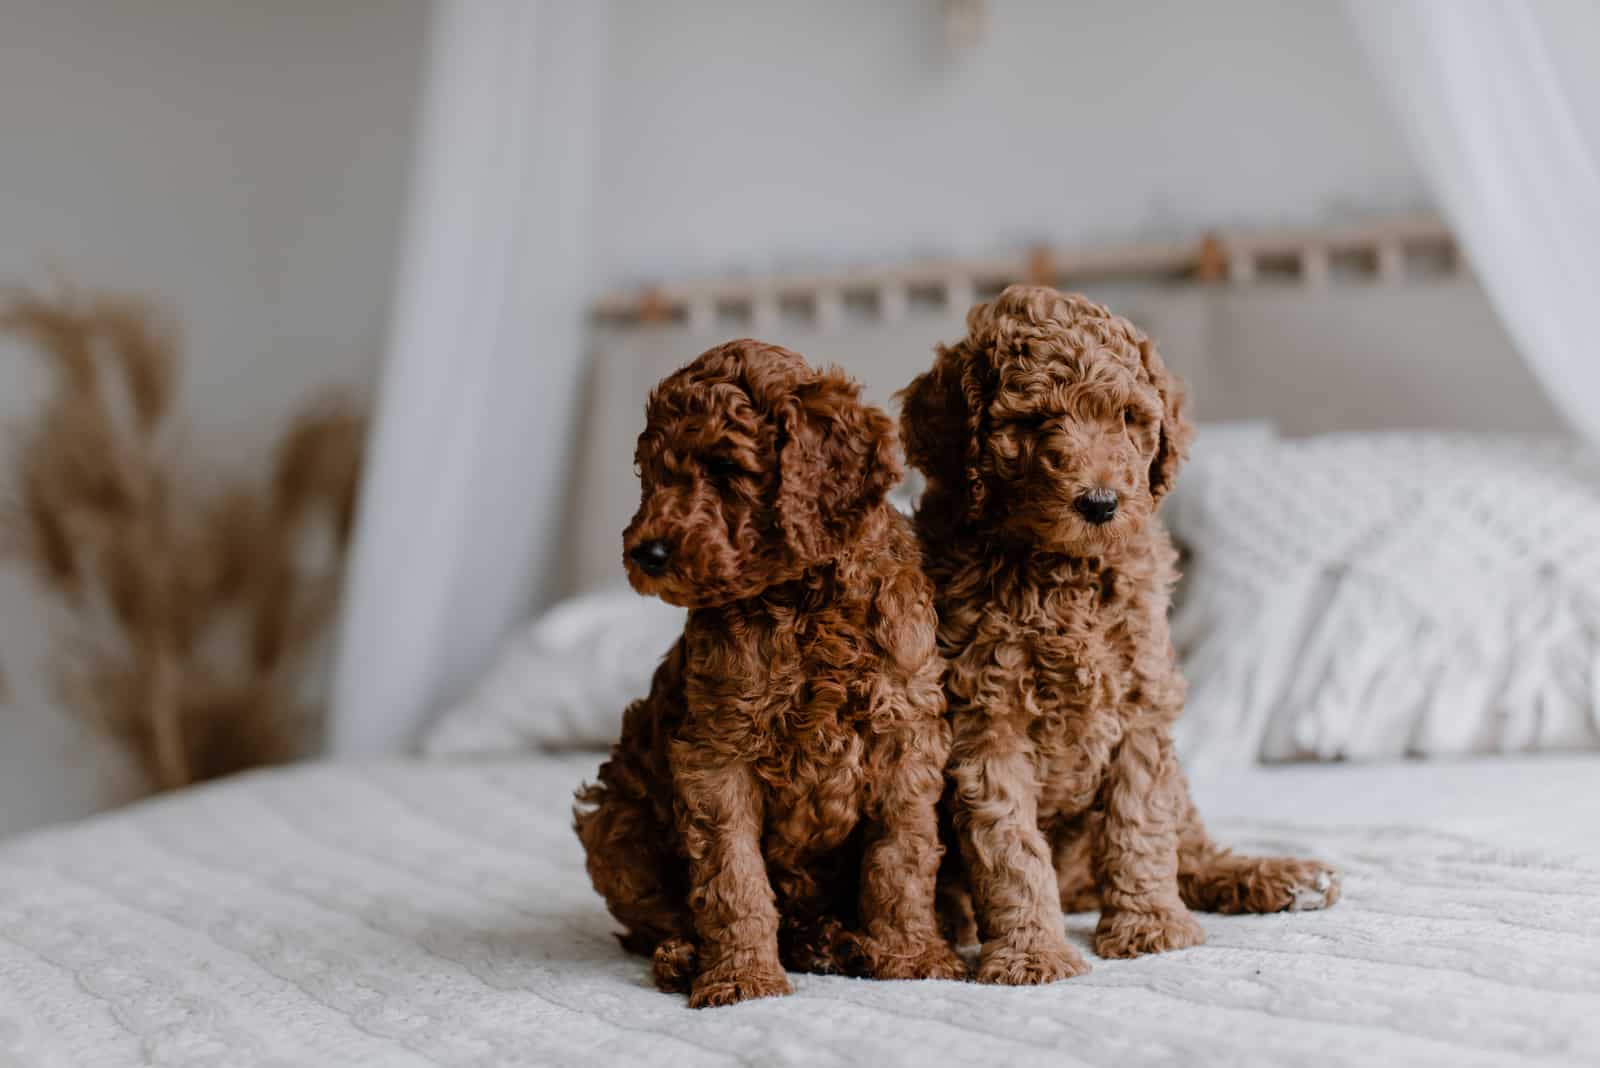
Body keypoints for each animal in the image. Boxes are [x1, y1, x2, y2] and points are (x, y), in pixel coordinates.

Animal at [572, 337, 960, 1004]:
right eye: (650, 474)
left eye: (727, 467)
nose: (646, 553)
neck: (804, 600)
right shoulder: (715, 755)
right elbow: (732, 876)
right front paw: (741, 976)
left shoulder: (905, 736)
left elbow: (902, 860)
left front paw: (914, 956)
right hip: (613, 819)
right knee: (655, 918)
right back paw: (688, 955)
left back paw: (832, 942)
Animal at [902, 287, 1337, 991]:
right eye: (1032, 423)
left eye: (1131, 420)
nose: (1102, 503)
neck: (1062, 573)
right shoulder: (985, 724)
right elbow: (1010, 847)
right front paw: (1031, 952)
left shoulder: (1141, 706)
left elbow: (1141, 824)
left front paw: (1148, 924)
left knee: (1191, 850)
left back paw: (1280, 877)